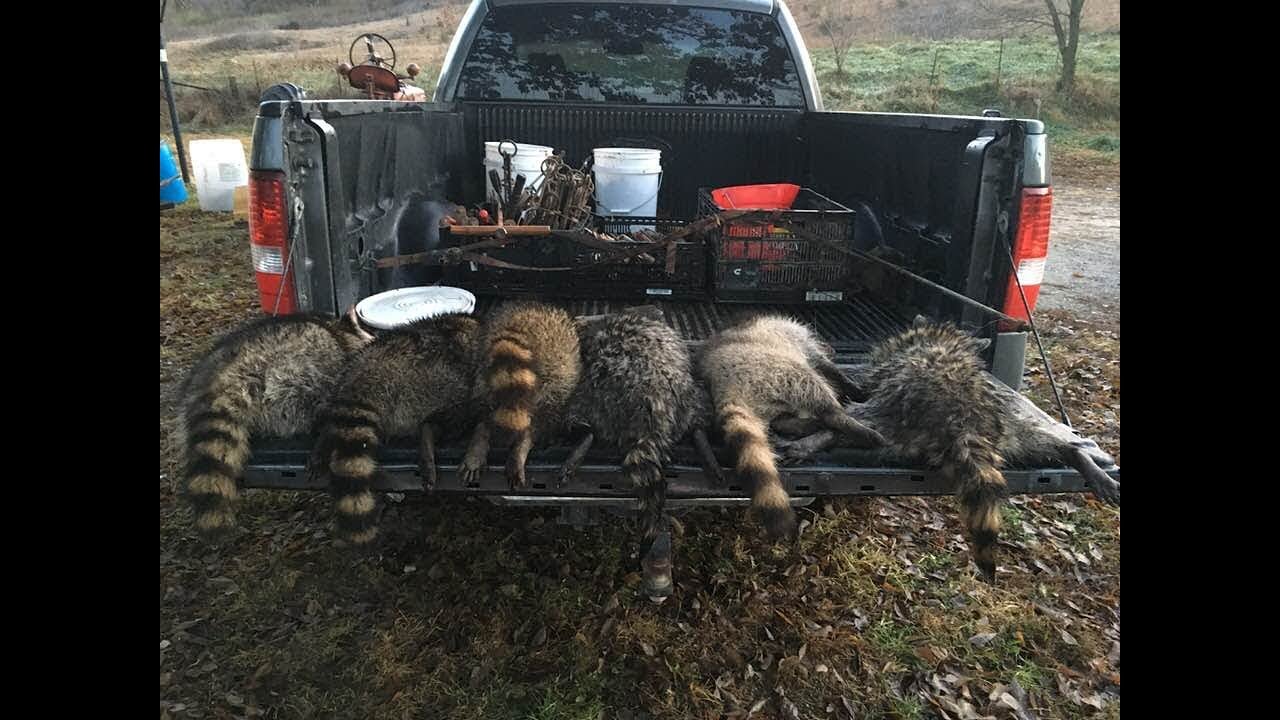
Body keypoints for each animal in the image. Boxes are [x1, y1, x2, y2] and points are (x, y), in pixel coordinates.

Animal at [460, 299, 581, 489]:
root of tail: (522, 322)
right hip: (557, 371)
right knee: (545, 414)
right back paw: (523, 441)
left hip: (482, 366)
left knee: (486, 404)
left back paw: (482, 433)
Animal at [696, 312, 885, 538]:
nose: (831, 349)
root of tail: (724, 385)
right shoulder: (803, 342)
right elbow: (829, 368)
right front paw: (853, 386)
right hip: (776, 368)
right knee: (821, 397)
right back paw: (852, 425)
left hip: (768, 397)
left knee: (781, 420)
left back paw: (802, 427)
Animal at [768, 316, 1121, 579]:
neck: (942, 338)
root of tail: (966, 416)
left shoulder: (888, 371)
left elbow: (862, 387)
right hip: (1007, 428)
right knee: (1047, 442)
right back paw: (1078, 456)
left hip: (903, 401)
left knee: (858, 420)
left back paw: (808, 432)